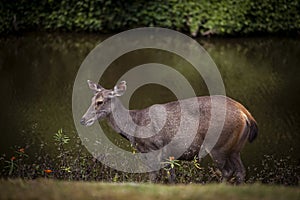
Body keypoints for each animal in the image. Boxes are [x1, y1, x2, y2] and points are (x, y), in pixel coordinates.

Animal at [80, 79, 258, 183]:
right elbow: (171, 178)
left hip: (218, 145)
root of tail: (246, 115)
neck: (134, 128)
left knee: (228, 171)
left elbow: (153, 177)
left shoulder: (153, 149)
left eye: (100, 102)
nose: (82, 120)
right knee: (240, 171)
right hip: (234, 148)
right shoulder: (168, 154)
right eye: (91, 99)